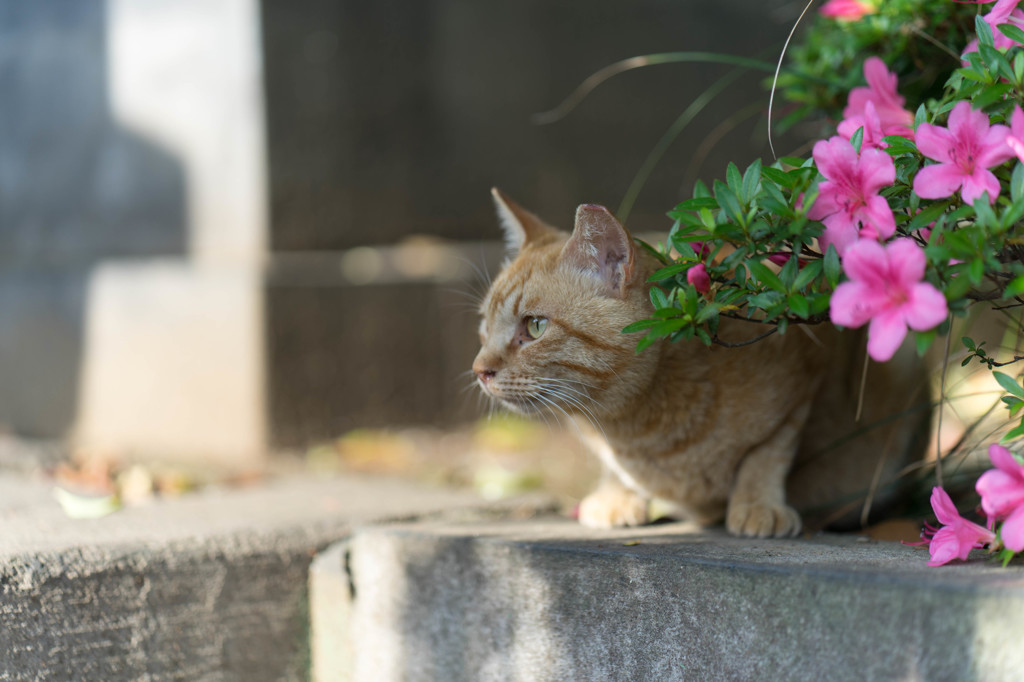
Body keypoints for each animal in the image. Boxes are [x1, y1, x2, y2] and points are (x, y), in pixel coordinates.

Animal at [471, 188, 929, 532]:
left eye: (534, 326)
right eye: (484, 326)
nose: (479, 371)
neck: (638, 428)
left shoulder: (805, 367)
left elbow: (767, 452)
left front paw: (757, 505)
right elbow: (612, 468)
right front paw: (617, 495)